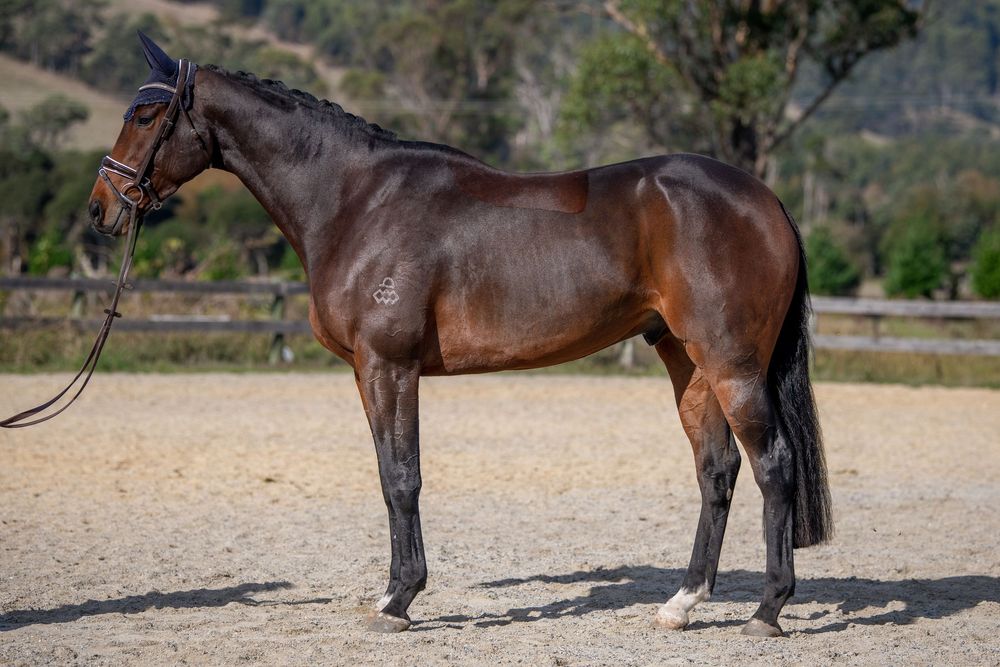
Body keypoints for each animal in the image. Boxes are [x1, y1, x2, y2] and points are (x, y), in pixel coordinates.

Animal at [87, 33, 833, 637]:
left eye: (145, 115)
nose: (100, 208)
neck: (356, 201)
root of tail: (765, 199)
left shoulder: (389, 365)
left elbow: (401, 477)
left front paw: (398, 601)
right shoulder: (369, 370)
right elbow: (390, 473)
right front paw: (394, 592)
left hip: (733, 364)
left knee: (773, 466)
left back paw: (768, 611)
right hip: (687, 360)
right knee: (717, 470)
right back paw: (681, 604)